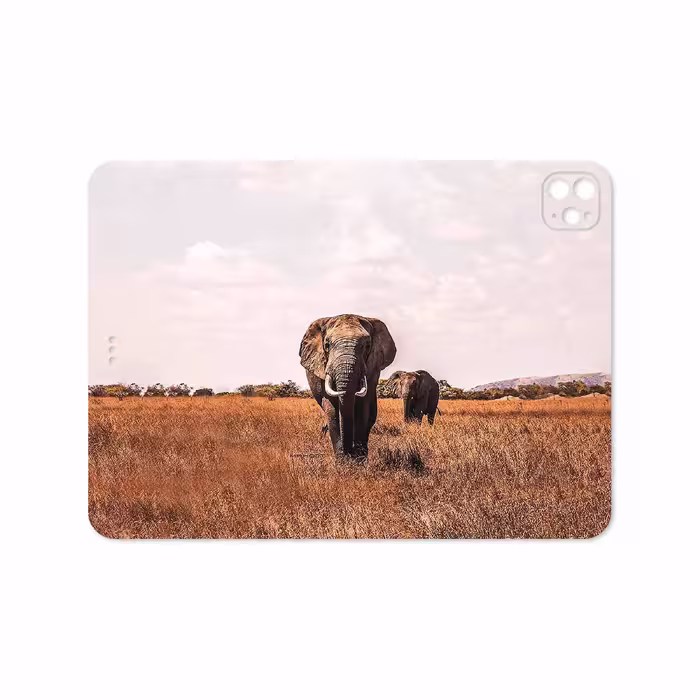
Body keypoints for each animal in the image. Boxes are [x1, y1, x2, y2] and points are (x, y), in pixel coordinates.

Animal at [300, 314, 396, 461]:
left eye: (367, 346)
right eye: (327, 345)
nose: (348, 453)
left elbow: (362, 408)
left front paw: (358, 460)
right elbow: (332, 409)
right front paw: (342, 461)